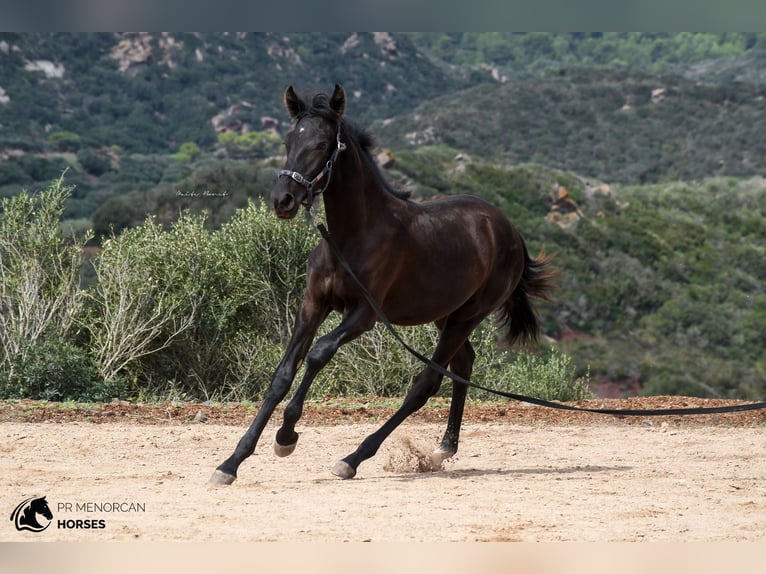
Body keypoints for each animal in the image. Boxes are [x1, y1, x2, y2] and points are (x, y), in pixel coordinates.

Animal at [210, 84, 556, 486]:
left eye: (323, 143)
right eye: (288, 140)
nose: (283, 200)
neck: (352, 237)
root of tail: (509, 231)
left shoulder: (364, 315)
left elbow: (319, 354)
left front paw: (286, 436)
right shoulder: (312, 305)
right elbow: (282, 374)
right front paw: (231, 462)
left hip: (468, 316)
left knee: (424, 385)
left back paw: (353, 458)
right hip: (445, 314)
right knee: (463, 365)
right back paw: (443, 448)